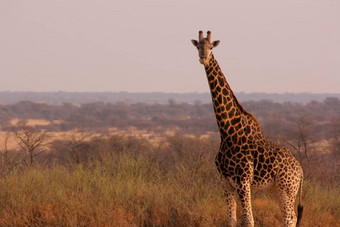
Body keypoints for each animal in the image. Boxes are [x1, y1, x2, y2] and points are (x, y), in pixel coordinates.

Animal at [190, 30, 304, 227]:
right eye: (198, 47)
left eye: (211, 47)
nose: (203, 58)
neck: (227, 132)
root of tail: (300, 170)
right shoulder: (225, 183)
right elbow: (231, 221)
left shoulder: (243, 182)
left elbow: (249, 221)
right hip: (276, 189)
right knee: (290, 217)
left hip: (287, 188)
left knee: (290, 218)